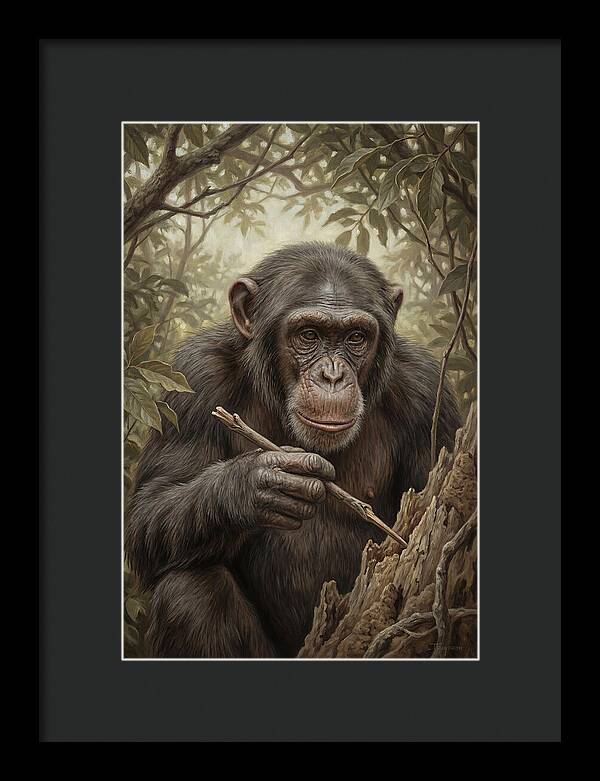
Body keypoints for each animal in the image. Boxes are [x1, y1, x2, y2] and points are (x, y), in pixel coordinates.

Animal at [125, 242, 460, 657]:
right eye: (309, 334)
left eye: (355, 338)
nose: (332, 375)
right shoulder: (194, 377)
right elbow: (149, 511)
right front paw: (256, 485)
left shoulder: (429, 394)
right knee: (189, 591)